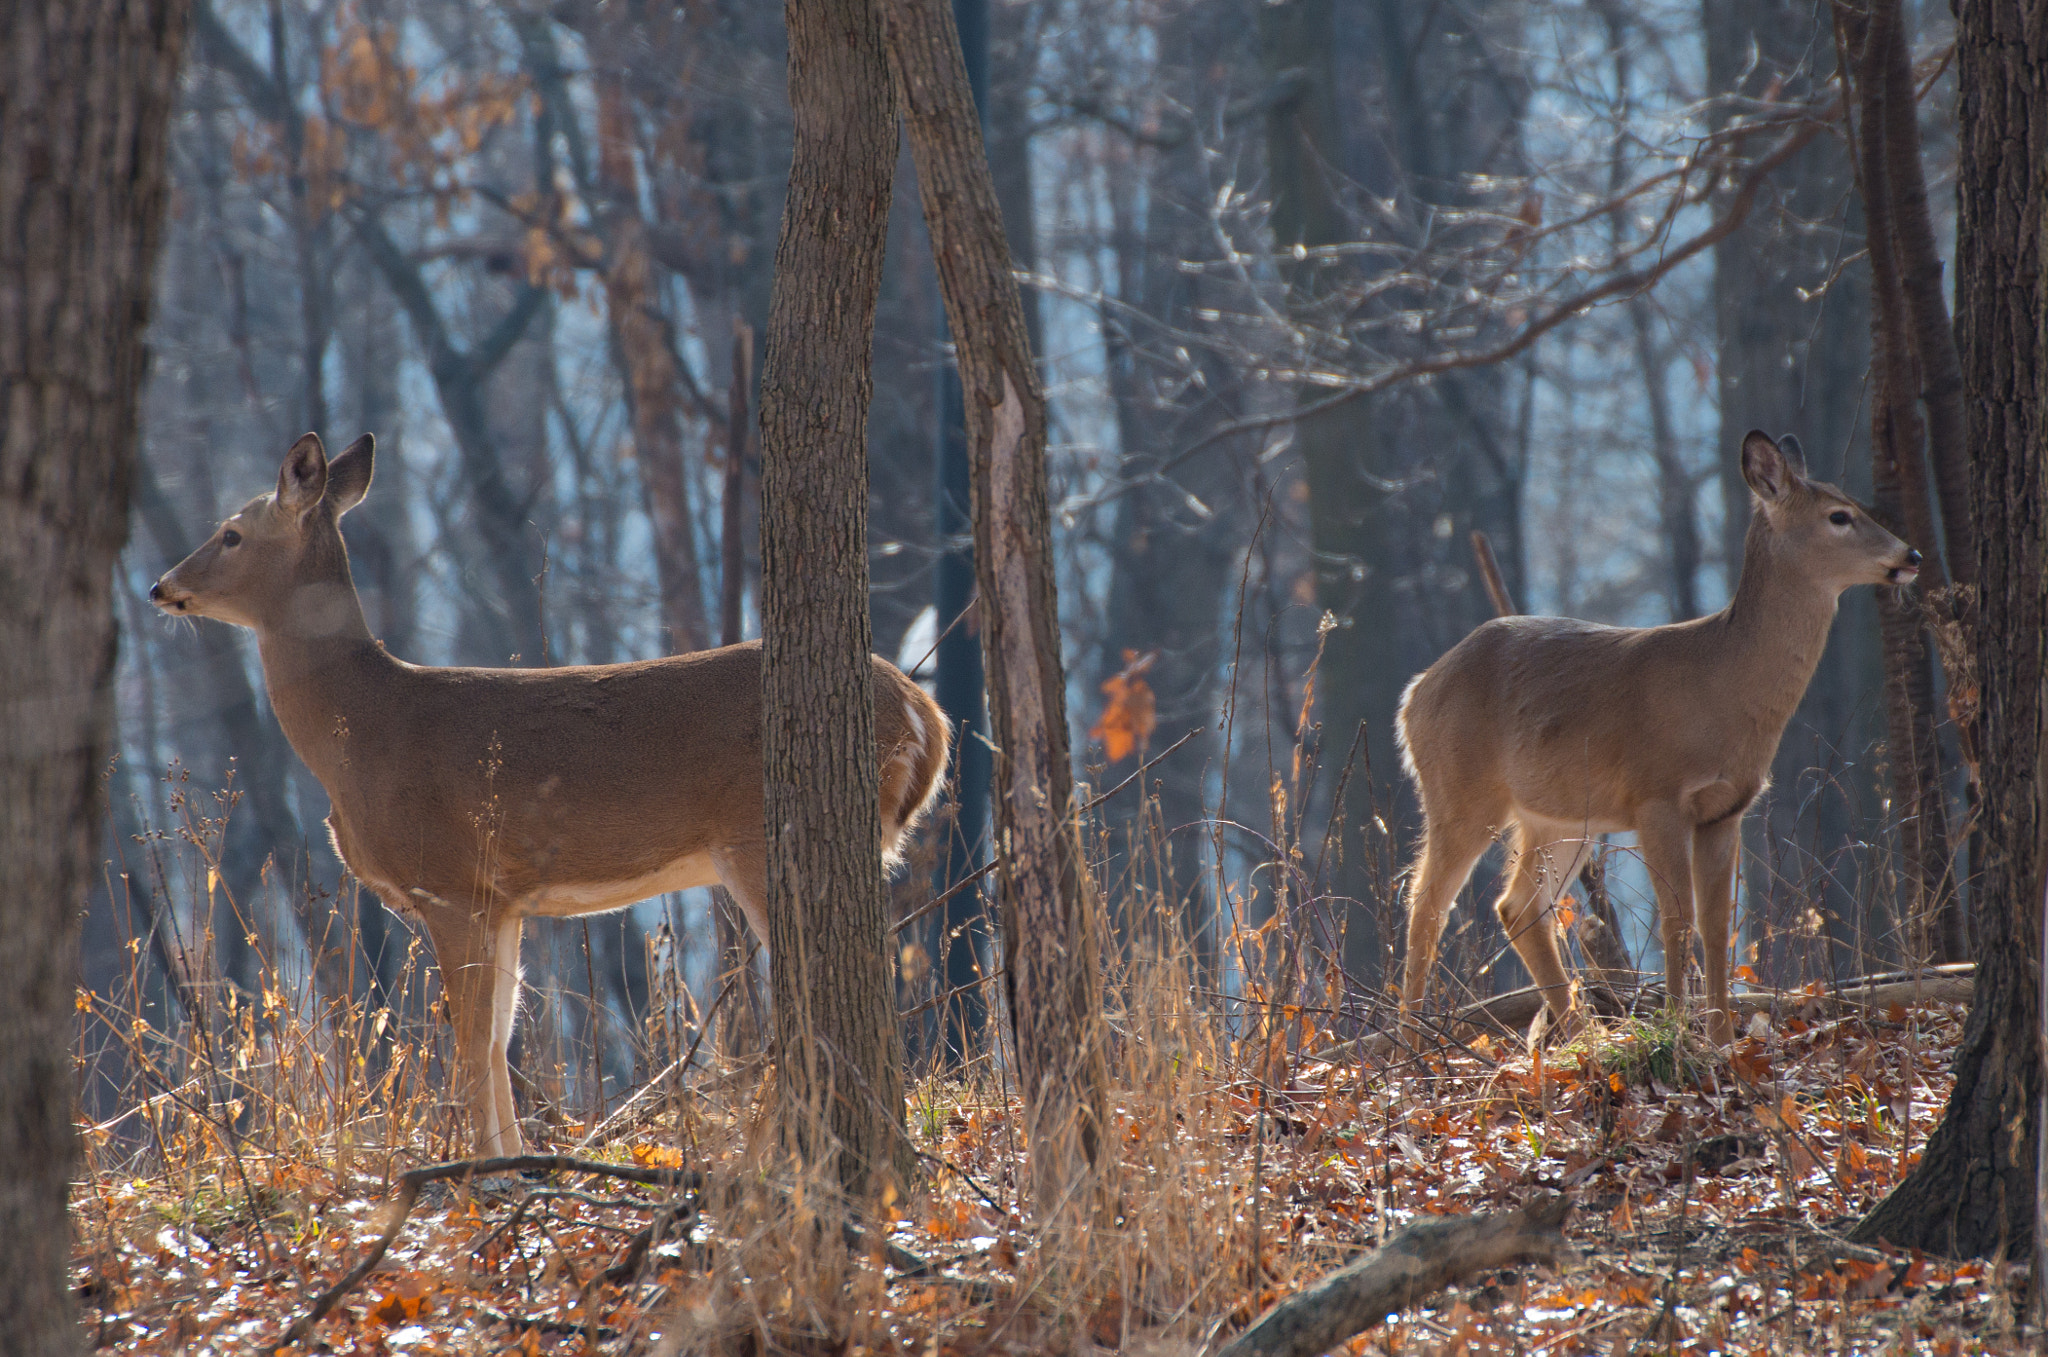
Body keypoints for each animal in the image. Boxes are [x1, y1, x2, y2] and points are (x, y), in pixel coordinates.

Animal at [151, 429, 950, 1154]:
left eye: (231, 533)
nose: (161, 586)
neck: (361, 733)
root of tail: (923, 709)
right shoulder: (502, 899)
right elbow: (498, 1035)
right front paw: (516, 1160)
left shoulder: (450, 879)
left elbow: (471, 1038)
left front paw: (482, 1168)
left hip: (760, 837)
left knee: (820, 982)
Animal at [1392, 429, 1916, 1043]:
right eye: (1839, 515)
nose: (1911, 556)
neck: (1721, 682)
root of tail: (1414, 694)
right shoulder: (1656, 795)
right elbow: (1677, 918)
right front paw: (1677, 1031)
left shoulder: (1725, 808)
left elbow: (1716, 923)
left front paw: (1721, 1039)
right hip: (1460, 790)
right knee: (1426, 905)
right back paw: (1408, 1043)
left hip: (1559, 815)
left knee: (1516, 906)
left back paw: (1578, 1035)